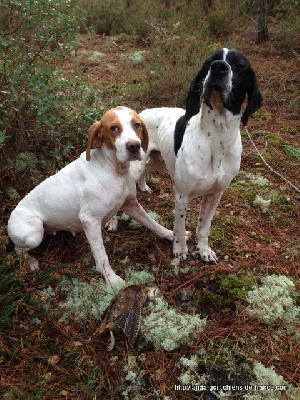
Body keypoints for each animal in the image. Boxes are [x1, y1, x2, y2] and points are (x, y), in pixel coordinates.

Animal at [8, 105, 175, 282]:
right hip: (34, 233)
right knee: (18, 250)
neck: (114, 170)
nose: (134, 146)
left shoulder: (131, 204)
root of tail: (12, 214)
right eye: (113, 128)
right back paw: (31, 262)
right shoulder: (89, 220)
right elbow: (101, 257)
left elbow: (153, 224)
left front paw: (171, 235)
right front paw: (112, 280)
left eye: (137, 125)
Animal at [132, 47, 262, 262]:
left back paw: (143, 186)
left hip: (159, 160)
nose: (219, 67)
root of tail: (140, 115)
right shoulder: (182, 195)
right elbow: (179, 226)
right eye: (209, 62)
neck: (217, 138)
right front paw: (180, 249)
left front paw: (204, 250)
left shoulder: (214, 196)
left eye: (239, 65)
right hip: (136, 163)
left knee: (147, 169)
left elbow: (204, 227)